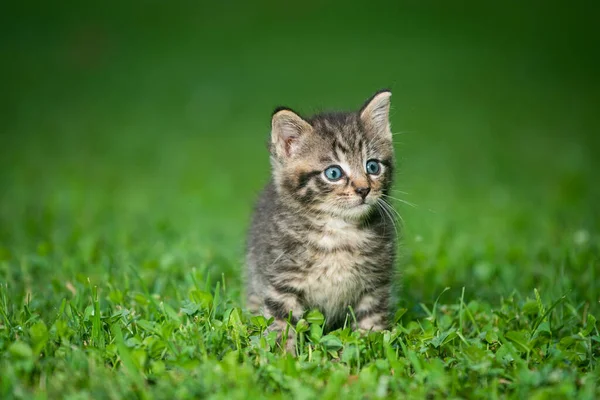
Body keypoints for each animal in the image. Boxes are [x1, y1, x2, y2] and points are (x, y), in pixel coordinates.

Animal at [246, 90, 396, 346]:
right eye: (333, 173)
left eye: (373, 167)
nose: (364, 189)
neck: (338, 231)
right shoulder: (282, 281)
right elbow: (281, 324)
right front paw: (283, 354)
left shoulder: (374, 285)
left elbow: (371, 322)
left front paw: (371, 346)